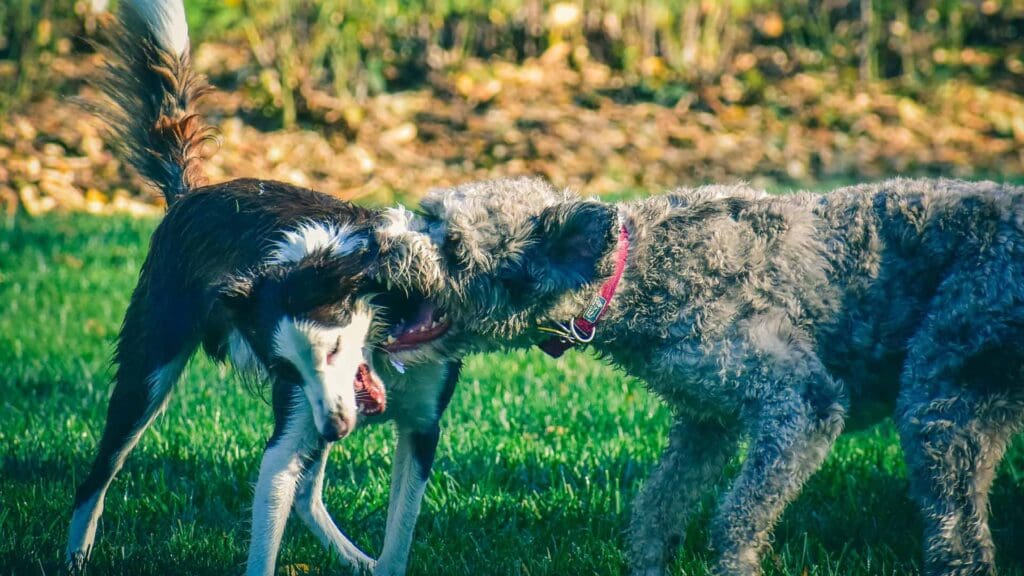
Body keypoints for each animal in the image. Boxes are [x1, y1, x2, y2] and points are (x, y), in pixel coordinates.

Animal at [67, 1, 456, 573]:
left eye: (334, 349)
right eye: (286, 369)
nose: (335, 431)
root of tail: (191, 194)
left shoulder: (419, 429)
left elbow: (397, 543)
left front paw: (378, 560)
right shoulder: (289, 433)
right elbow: (270, 522)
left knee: (308, 493)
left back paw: (354, 557)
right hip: (147, 375)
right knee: (96, 477)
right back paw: (75, 554)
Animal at [374, 176, 1024, 573]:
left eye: (454, 248)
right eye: (427, 215)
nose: (378, 244)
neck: (635, 273)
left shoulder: (801, 407)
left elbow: (736, 517)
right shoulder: (706, 420)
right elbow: (656, 508)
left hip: (938, 402)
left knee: (960, 535)